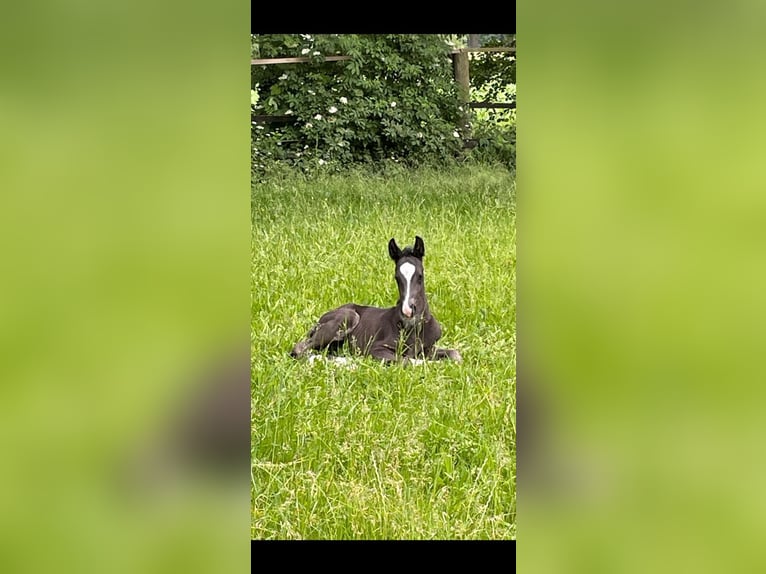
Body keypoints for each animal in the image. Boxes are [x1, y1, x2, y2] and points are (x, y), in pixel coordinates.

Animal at [292, 237, 462, 364]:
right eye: (397, 277)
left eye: (420, 276)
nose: (408, 310)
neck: (415, 328)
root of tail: (321, 318)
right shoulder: (376, 348)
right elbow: (405, 360)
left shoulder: (428, 348)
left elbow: (456, 355)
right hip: (347, 317)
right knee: (300, 349)